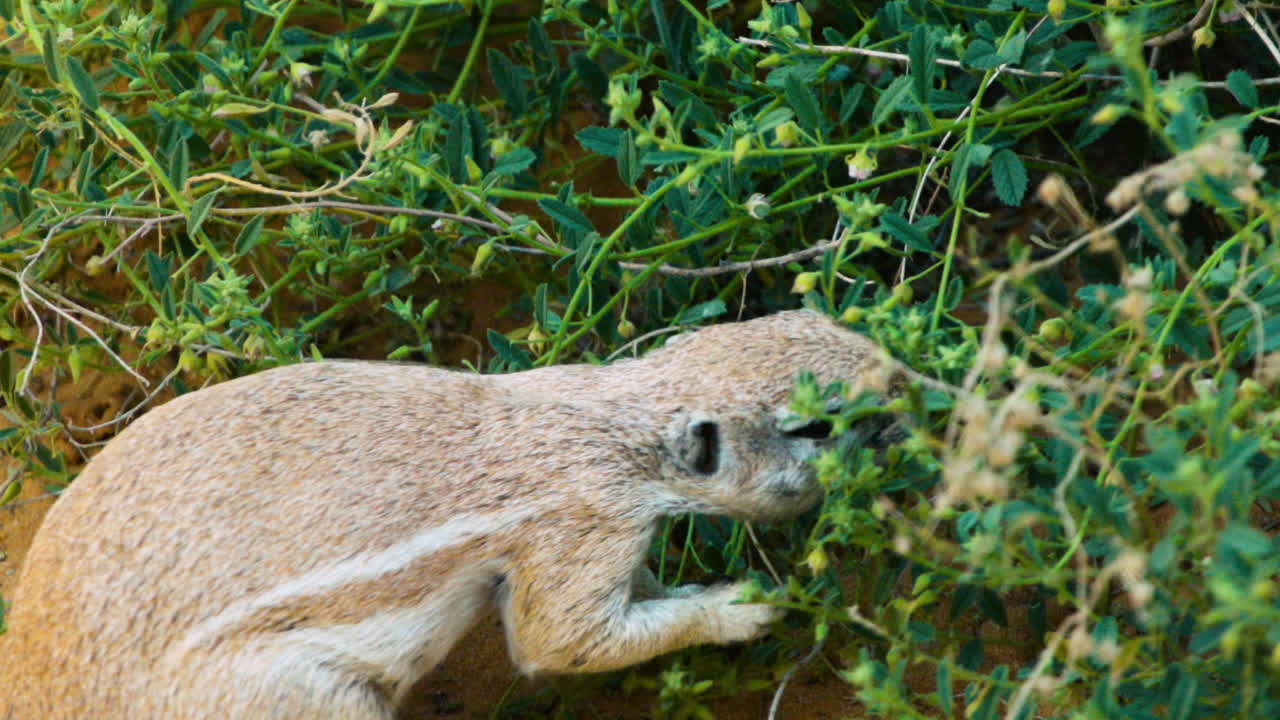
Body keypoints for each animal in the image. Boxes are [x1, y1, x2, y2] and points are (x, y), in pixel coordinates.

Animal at [0, 310, 883, 719]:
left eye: (811, 319)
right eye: (814, 424)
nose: (906, 374)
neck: (605, 417)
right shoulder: (583, 530)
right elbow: (561, 640)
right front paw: (745, 606)